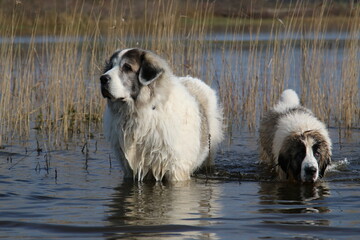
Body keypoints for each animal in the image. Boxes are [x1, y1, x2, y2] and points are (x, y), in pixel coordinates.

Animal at [100, 47, 222, 181]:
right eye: (111, 66)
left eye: (127, 67)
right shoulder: (130, 168)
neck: (140, 111)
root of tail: (192, 79)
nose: (103, 78)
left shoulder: (176, 169)